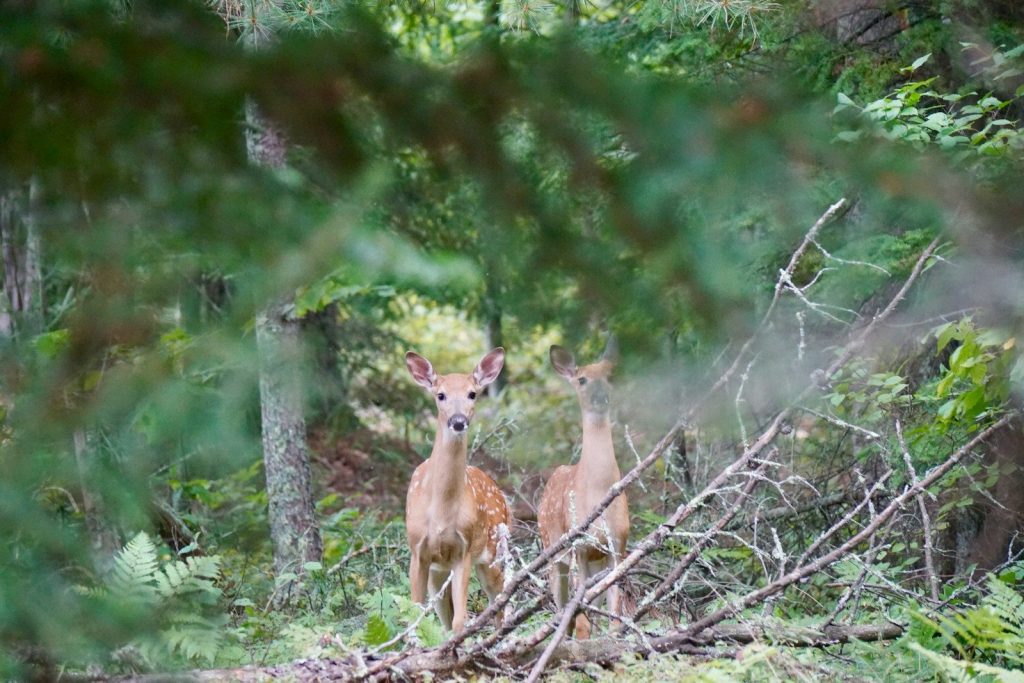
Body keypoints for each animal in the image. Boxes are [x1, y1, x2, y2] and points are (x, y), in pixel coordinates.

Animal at [404, 348, 510, 633]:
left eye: (472, 393)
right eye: (440, 395)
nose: (458, 421)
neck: (441, 511)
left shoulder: (464, 550)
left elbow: (461, 619)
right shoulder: (417, 550)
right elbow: (414, 612)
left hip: (492, 550)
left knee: (499, 603)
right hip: (438, 571)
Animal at [537, 337, 629, 639]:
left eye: (610, 375)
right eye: (582, 379)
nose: (601, 396)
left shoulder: (618, 545)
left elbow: (615, 612)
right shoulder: (578, 547)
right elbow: (580, 620)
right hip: (552, 549)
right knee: (561, 606)